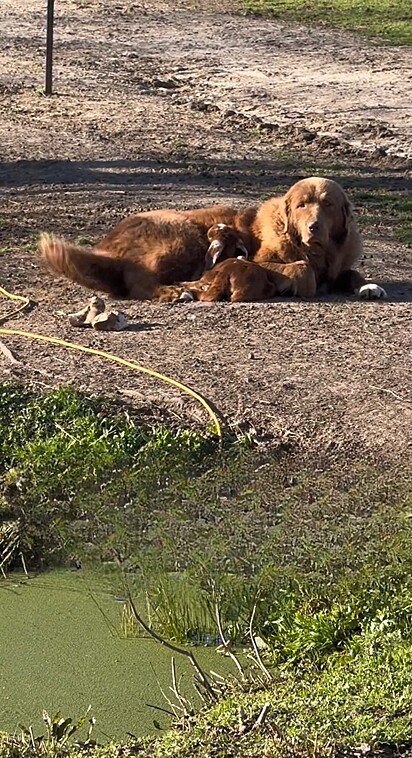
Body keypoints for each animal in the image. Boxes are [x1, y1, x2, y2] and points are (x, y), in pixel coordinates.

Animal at [40, 179, 388, 302]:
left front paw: (368, 287)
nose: (314, 226)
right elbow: (300, 268)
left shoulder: (339, 262)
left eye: (327, 204)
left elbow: (352, 272)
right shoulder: (261, 259)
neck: (319, 252)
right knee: (138, 282)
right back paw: (175, 293)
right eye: (303, 205)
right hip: (181, 236)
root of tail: (106, 245)